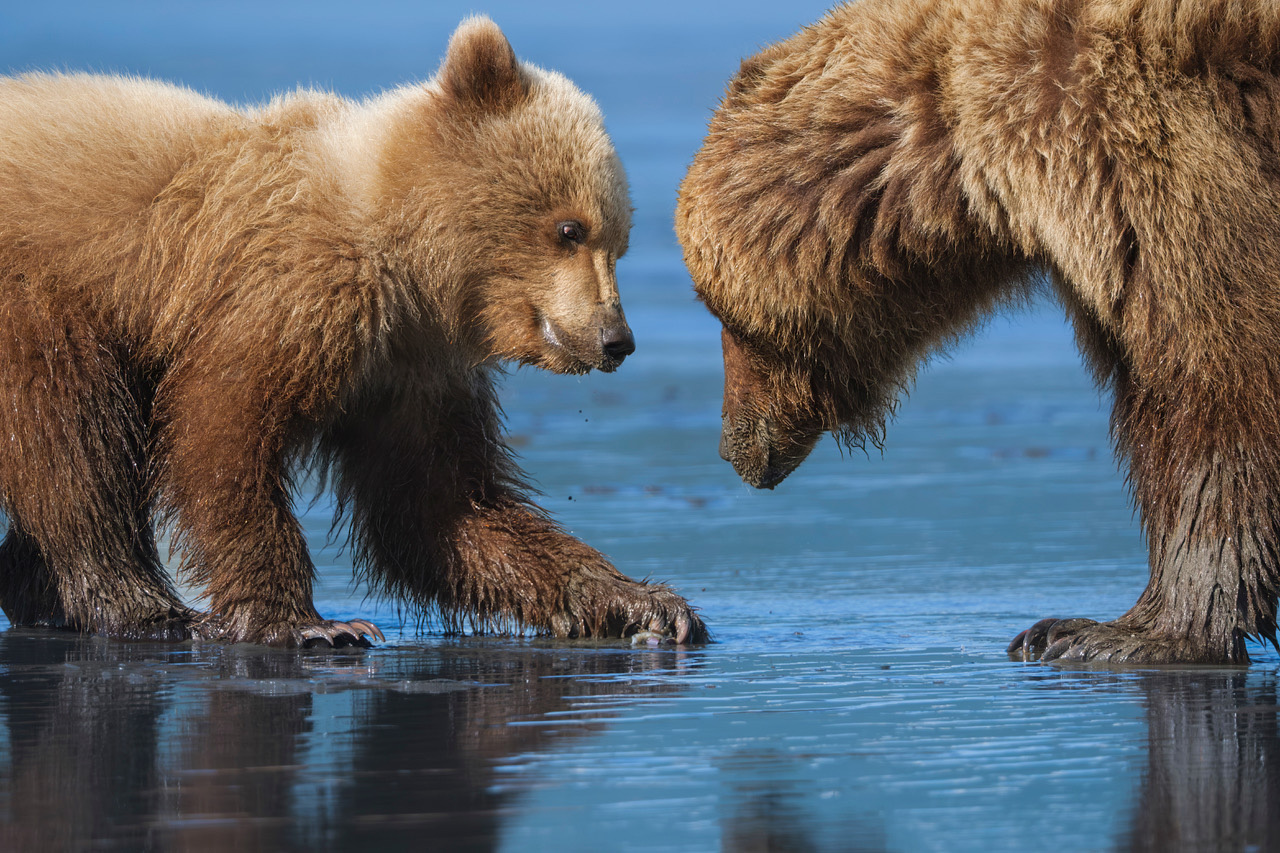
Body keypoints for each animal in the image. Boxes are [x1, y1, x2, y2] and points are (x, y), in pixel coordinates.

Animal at [0, 17, 706, 647]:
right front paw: (308, 623)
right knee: (71, 437)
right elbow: (220, 434)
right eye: (570, 229)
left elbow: (443, 506)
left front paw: (645, 603)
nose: (617, 339)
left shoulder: (408, 370)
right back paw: (140, 605)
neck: (399, 258)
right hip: (39, 303)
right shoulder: (290, 293)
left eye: (620, 241)